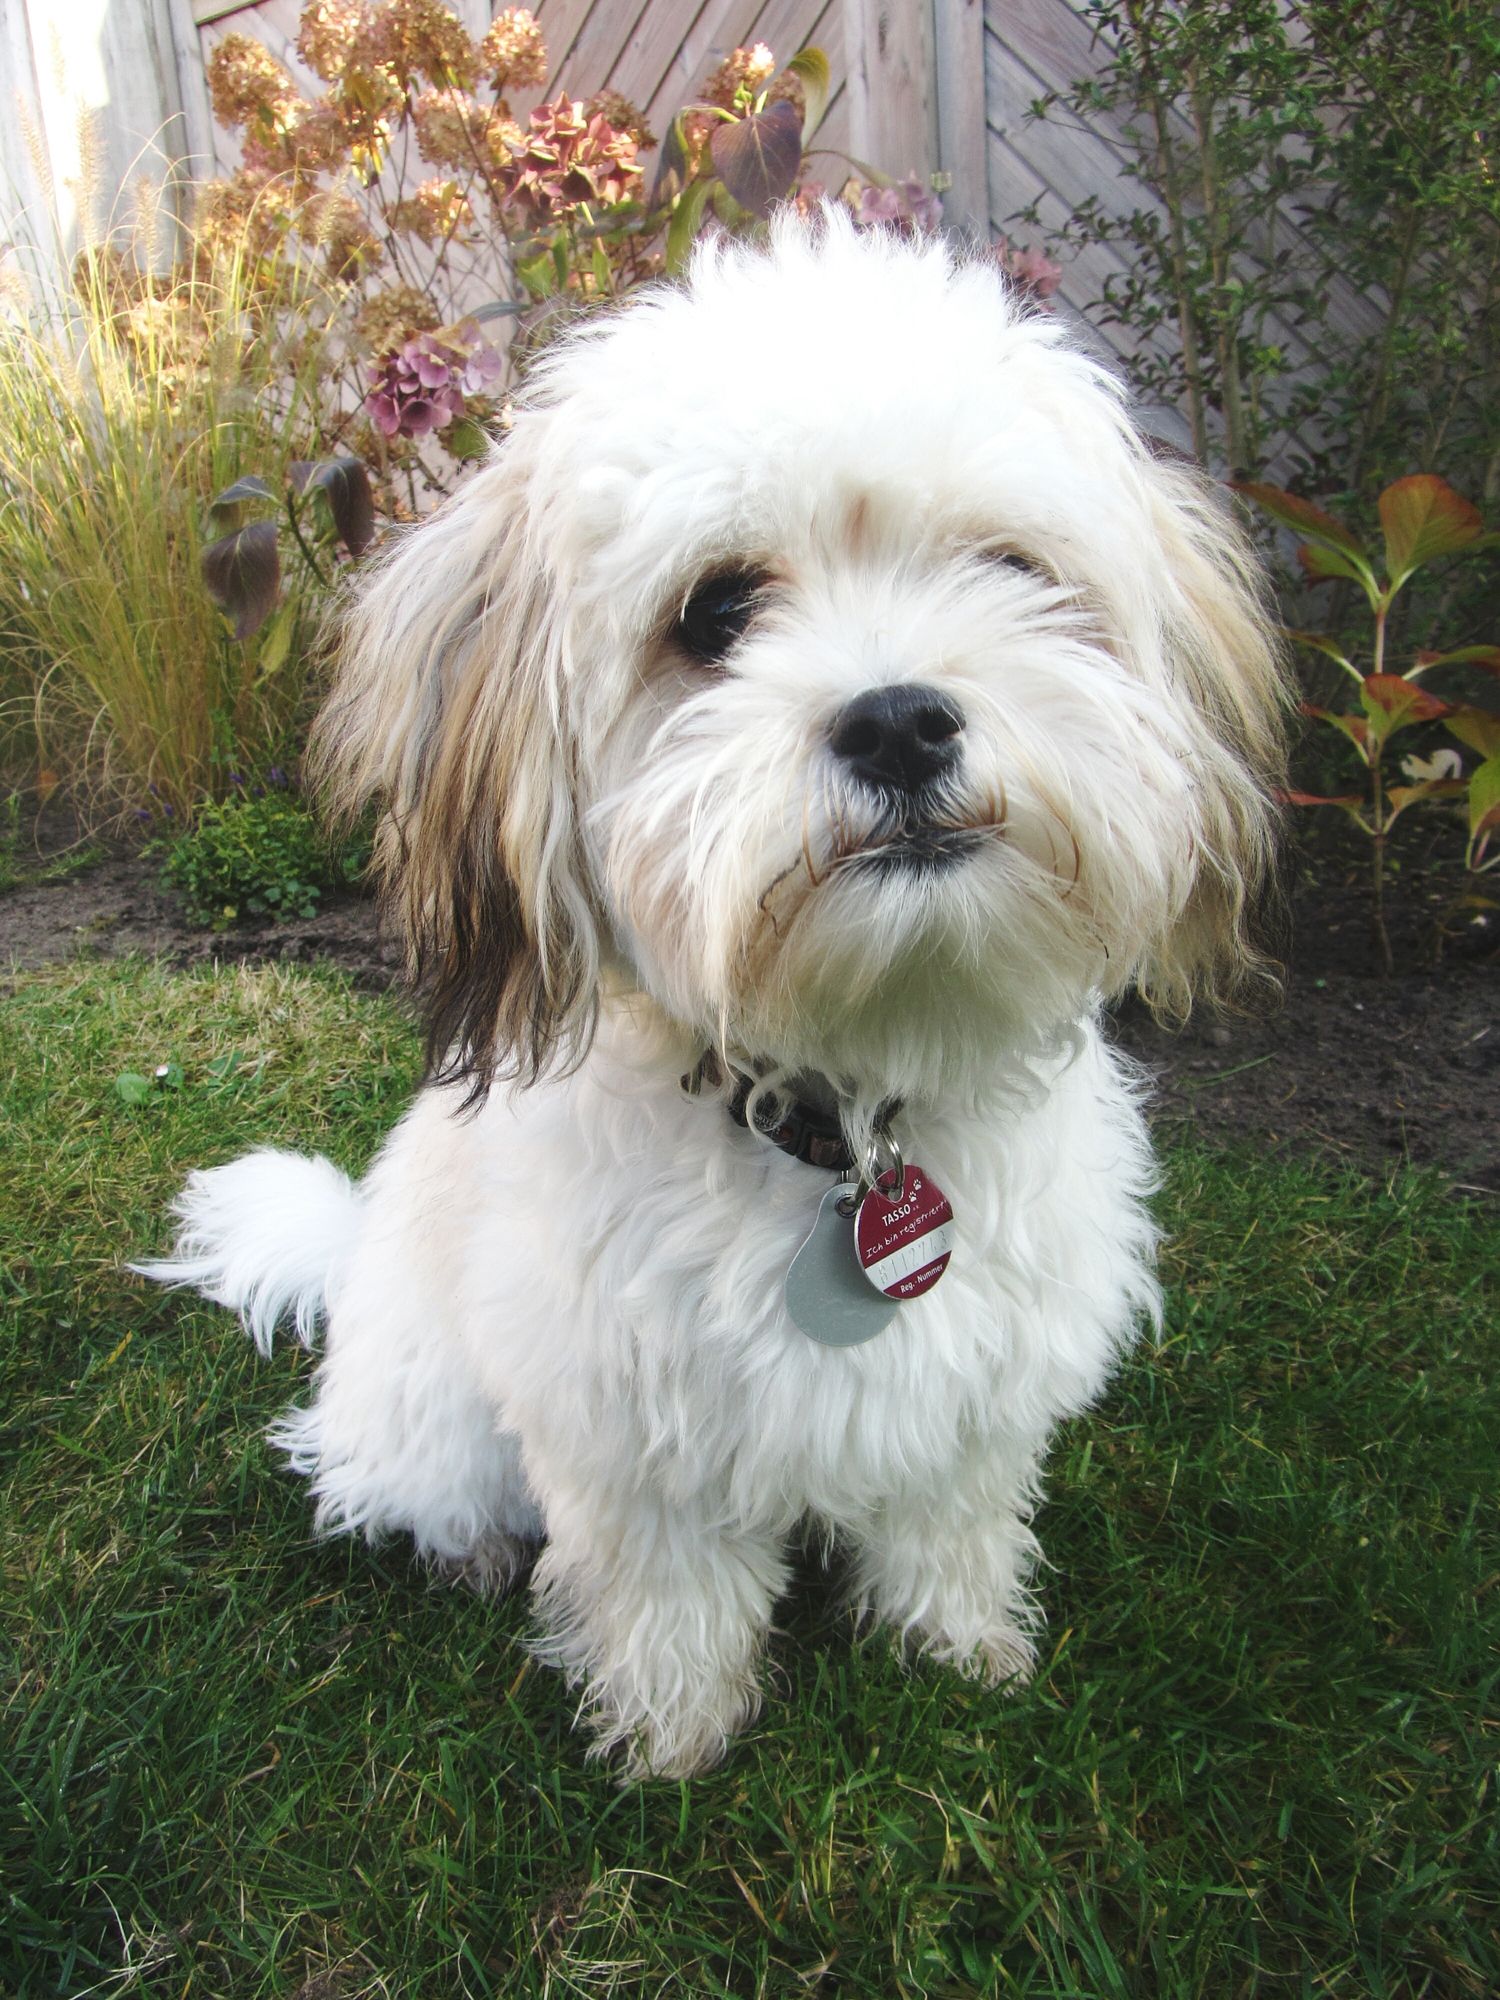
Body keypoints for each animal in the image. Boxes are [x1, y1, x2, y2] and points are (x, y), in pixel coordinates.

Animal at [144, 215, 1296, 1784]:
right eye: (716, 612)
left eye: (1009, 565)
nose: (900, 720)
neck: (846, 1114)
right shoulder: (630, 1434)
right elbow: (668, 1597)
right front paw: (670, 1737)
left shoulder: (971, 1400)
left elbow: (949, 1530)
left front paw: (959, 1654)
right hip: (429, 1411)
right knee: (408, 1487)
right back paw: (470, 1554)